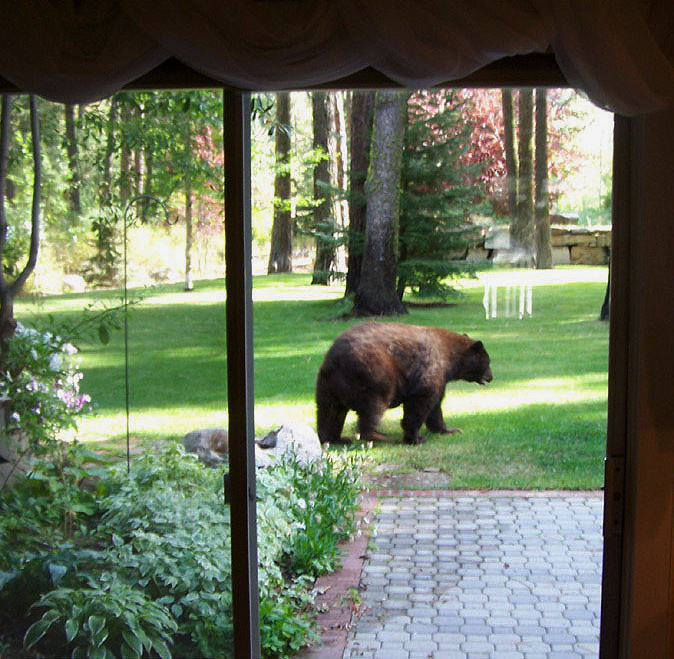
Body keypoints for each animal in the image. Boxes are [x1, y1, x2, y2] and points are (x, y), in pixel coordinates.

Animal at [315, 321, 492, 445]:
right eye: (488, 362)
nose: (491, 377)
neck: (450, 358)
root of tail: (336, 360)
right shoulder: (429, 369)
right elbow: (421, 401)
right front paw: (416, 438)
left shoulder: (441, 379)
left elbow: (436, 405)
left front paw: (449, 430)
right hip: (373, 375)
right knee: (373, 406)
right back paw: (379, 436)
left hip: (328, 384)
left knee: (329, 411)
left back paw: (334, 438)